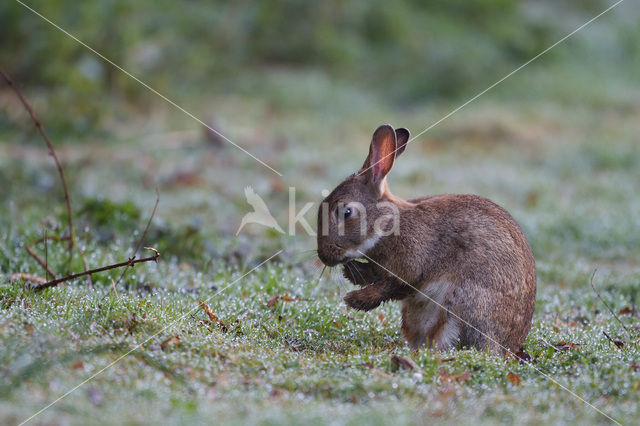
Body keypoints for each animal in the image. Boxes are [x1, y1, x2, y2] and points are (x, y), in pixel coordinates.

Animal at [318, 124, 536, 356]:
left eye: (346, 212)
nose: (323, 256)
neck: (388, 223)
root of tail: (510, 345)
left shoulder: (411, 267)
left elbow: (390, 287)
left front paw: (354, 299)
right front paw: (352, 273)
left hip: (462, 303)